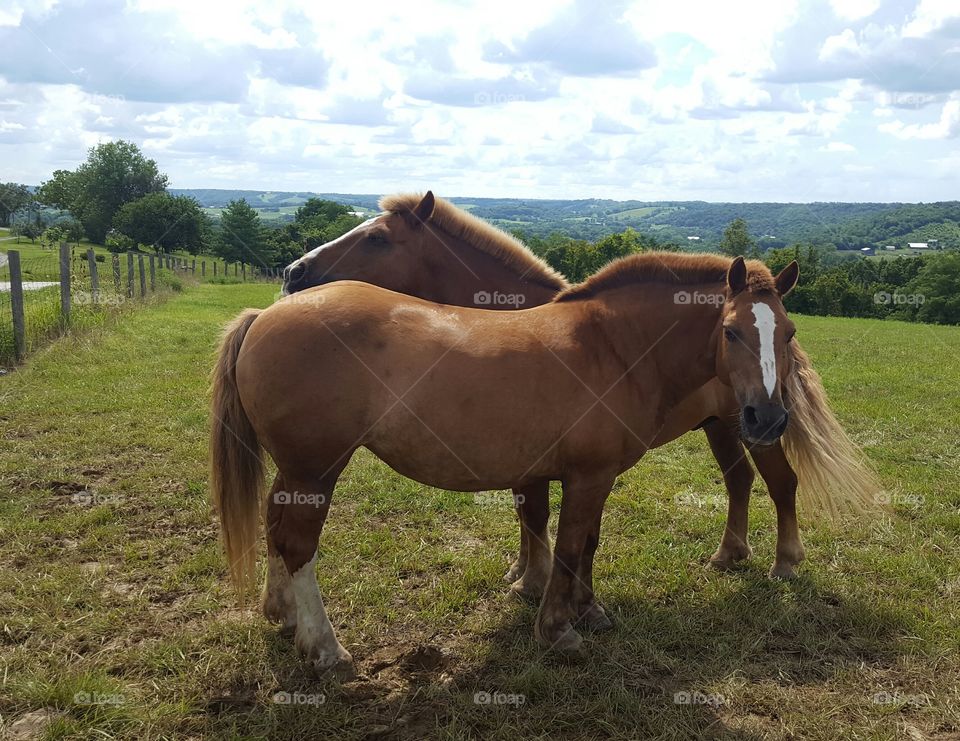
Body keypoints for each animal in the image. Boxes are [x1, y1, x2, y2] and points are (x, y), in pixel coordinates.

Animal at [211, 252, 878, 672]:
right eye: (733, 331)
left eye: (788, 333)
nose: (767, 417)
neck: (614, 346)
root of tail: (267, 314)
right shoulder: (585, 477)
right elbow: (568, 544)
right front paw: (558, 629)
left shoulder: (595, 476)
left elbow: (585, 545)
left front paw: (587, 610)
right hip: (314, 470)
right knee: (296, 543)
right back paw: (325, 649)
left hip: (296, 473)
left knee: (276, 529)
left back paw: (281, 614)